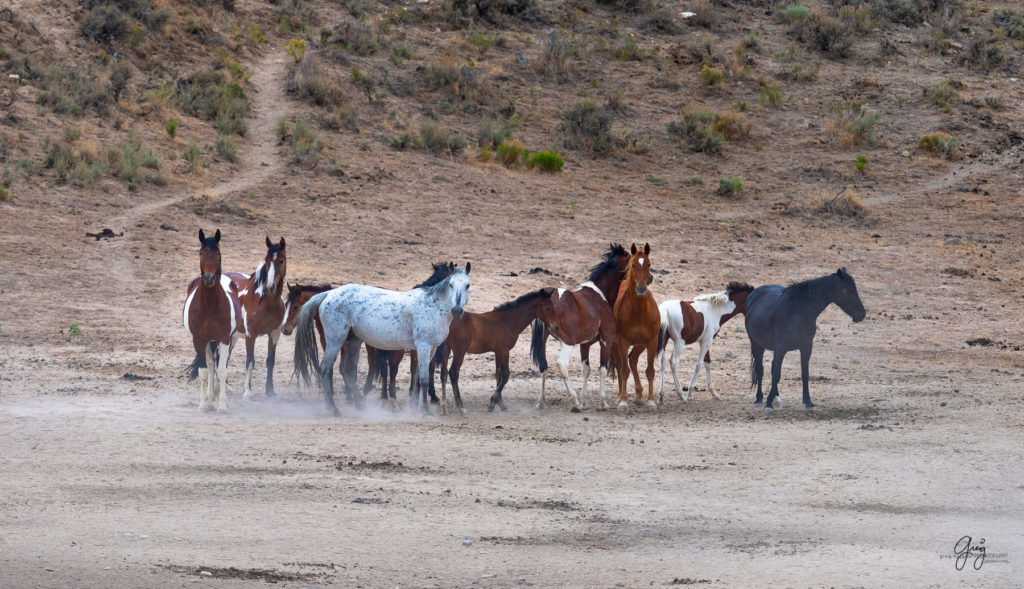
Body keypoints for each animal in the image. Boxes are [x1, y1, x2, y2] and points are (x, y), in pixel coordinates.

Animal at [183, 228, 240, 411]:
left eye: (218, 253)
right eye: (201, 252)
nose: (208, 278)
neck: (209, 305)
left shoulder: (224, 338)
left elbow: (221, 371)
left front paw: (222, 405)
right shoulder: (199, 340)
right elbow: (203, 371)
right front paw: (203, 404)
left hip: (229, 340)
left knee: (220, 364)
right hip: (209, 341)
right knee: (210, 364)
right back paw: (209, 398)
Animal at [224, 237, 286, 399]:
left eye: (281, 260)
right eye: (267, 260)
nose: (270, 286)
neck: (267, 303)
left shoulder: (275, 334)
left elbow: (270, 361)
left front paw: (270, 390)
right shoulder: (250, 335)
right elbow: (250, 362)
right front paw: (248, 391)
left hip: (232, 337)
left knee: (225, 358)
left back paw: (226, 387)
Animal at [294, 266, 473, 413]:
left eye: (467, 285)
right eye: (451, 284)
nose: (457, 310)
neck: (433, 306)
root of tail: (328, 294)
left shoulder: (431, 349)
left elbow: (416, 378)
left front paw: (415, 407)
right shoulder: (423, 347)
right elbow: (423, 379)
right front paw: (425, 412)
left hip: (353, 342)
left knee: (349, 372)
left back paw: (362, 406)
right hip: (335, 341)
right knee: (325, 369)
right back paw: (333, 409)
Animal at [610, 241, 659, 411]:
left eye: (649, 264)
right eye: (633, 265)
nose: (641, 288)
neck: (638, 312)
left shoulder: (652, 341)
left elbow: (650, 371)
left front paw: (651, 401)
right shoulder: (623, 342)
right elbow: (624, 371)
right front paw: (624, 402)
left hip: (640, 344)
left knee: (632, 360)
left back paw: (639, 395)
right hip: (615, 345)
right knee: (620, 365)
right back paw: (620, 396)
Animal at [745, 270, 864, 411]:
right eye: (846, 289)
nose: (862, 314)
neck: (798, 312)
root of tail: (754, 293)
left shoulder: (806, 347)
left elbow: (804, 374)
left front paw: (808, 401)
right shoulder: (781, 348)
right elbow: (777, 375)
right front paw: (768, 403)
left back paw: (776, 397)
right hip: (756, 344)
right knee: (760, 369)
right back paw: (760, 398)